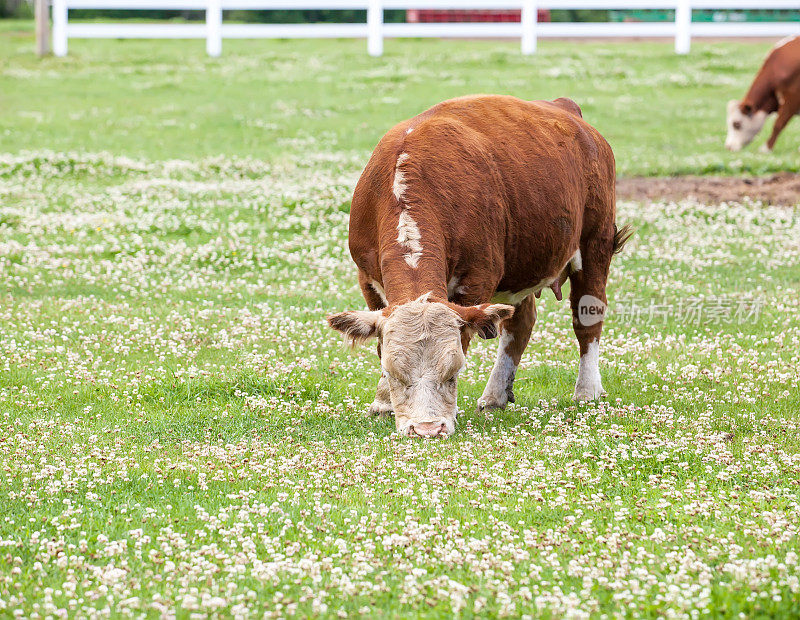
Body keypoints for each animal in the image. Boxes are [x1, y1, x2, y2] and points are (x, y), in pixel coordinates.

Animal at [328, 94, 628, 438]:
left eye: (453, 373)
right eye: (393, 374)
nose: (427, 428)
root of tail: (564, 107)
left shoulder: (476, 280)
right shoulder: (367, 279)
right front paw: (382, 403)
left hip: (595, 244)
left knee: (587, 318)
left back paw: (586, 391)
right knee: (520, 322)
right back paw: (496, 395)